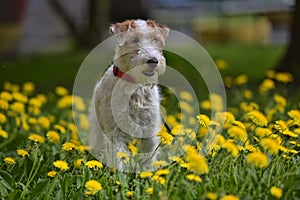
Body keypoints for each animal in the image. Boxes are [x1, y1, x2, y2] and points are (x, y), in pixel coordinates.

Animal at [89, 19, 169, 170]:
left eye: (155, 39)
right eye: (134, 40)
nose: (153, 61)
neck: (136, 87)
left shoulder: (149, 132)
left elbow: (148, 160)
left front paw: (148, 173)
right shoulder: (114, 132)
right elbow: (118, 158)